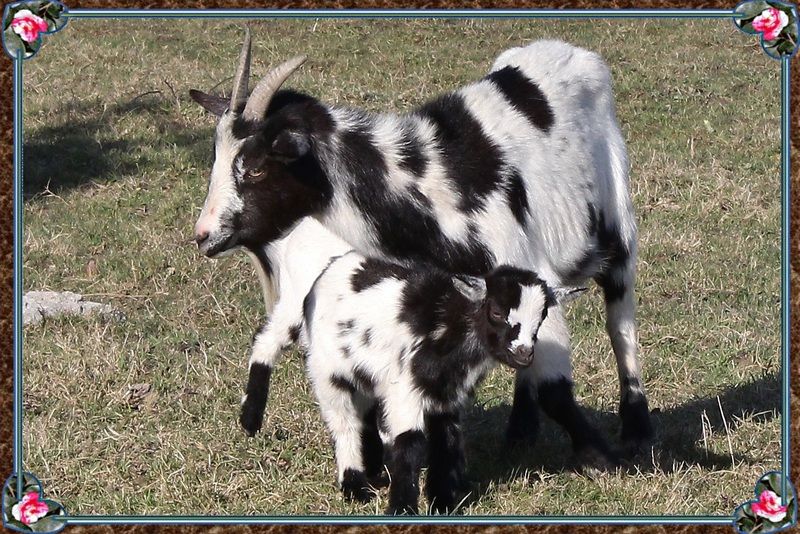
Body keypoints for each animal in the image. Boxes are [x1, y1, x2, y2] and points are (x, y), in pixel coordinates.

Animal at [191, 30, 652, 464]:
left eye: (255, 168)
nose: (203, 235)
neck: (429, 189)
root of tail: (569, 51)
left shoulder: (531, 271)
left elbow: (555, 387)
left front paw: (603, 458)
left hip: (618, 224)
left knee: (620, 324)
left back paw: (634, 429)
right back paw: (520, 432)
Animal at [300, 253, 580, 516]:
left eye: (542, 316)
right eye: (497, 312)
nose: (524, 354)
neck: (448, 328)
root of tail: (332, 268)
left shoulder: (447, 396)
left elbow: (446, 440)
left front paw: (442, 503)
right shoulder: (406, 391)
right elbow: (410, 442)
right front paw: (402, 509)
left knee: (365, 413)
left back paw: (372, 469)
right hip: (327, 372)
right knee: (343, 422)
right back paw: (355, 486)